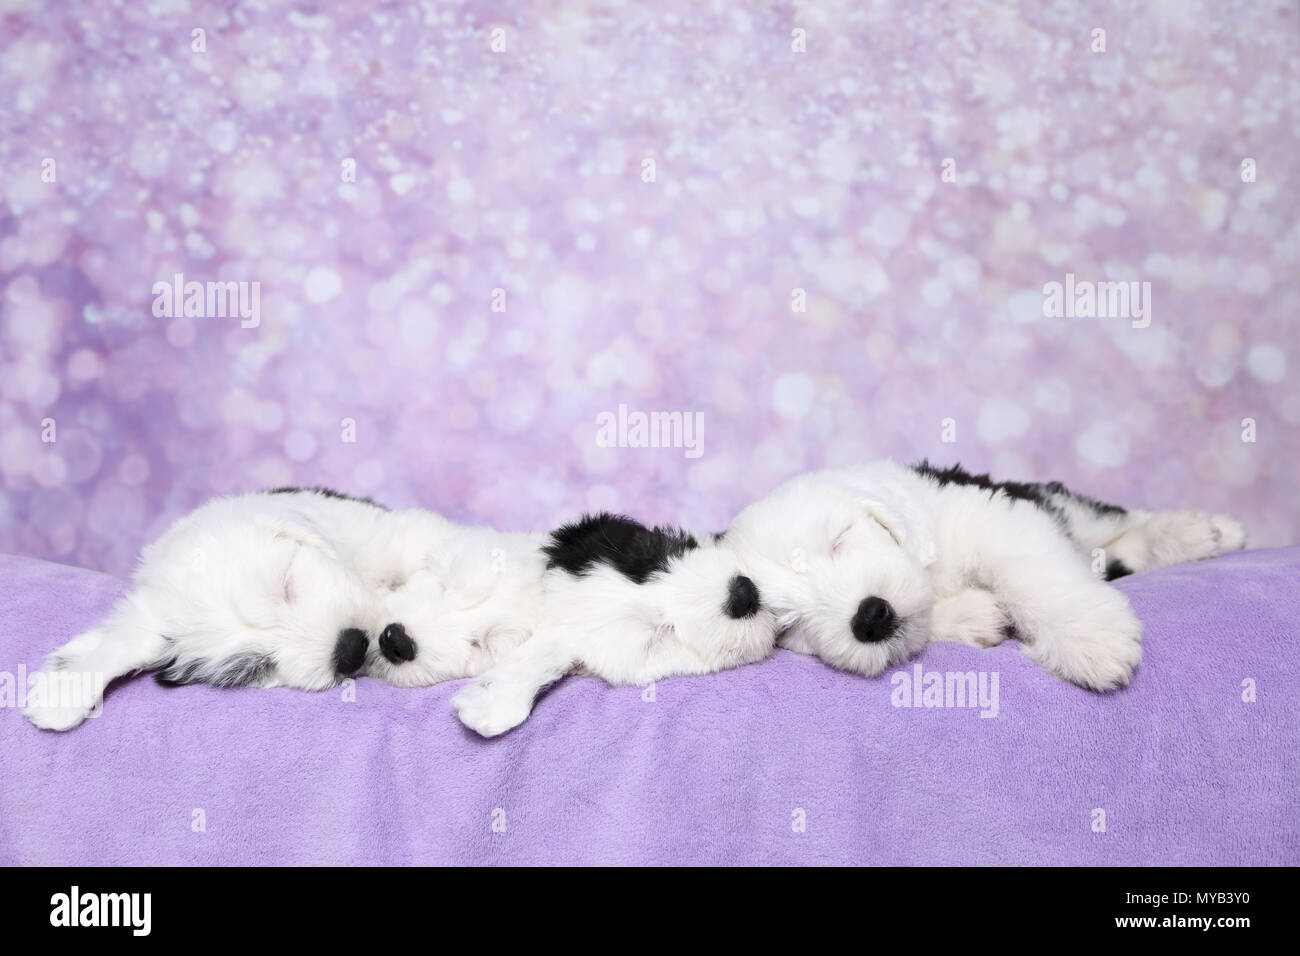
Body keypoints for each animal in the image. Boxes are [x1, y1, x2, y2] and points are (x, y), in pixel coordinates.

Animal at [728, 460, 1242, 691]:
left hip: (1055, 501)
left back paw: (1203, 533)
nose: (870, 618)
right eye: (792, 625)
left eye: (839, 540)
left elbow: (1031, 574)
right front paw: (977, 617)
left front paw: (1092, 641)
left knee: (1117, 522)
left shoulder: (994, 515)